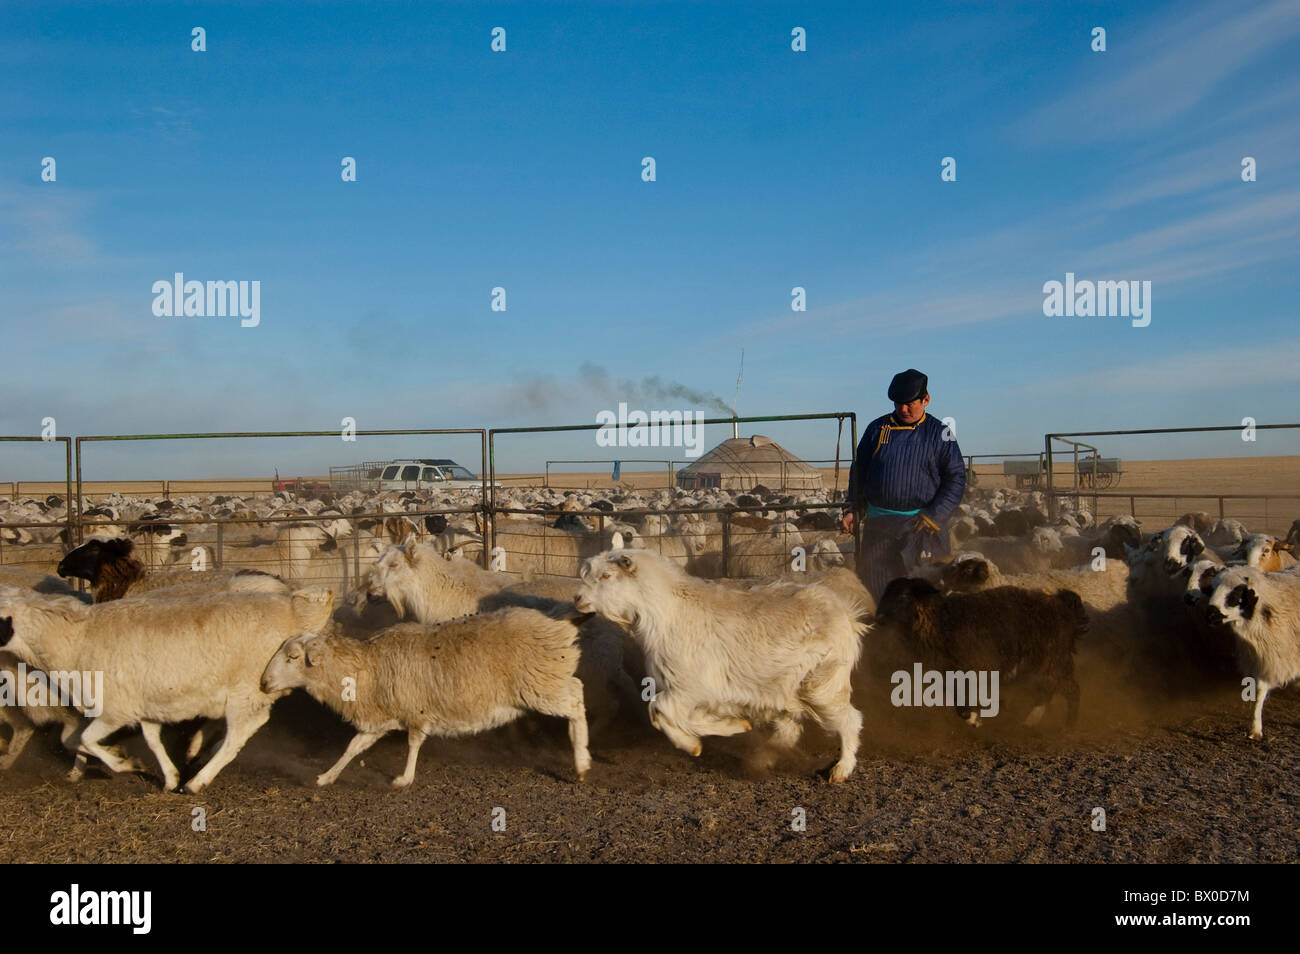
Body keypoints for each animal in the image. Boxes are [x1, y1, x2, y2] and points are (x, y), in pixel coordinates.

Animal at [0, 584, 335, 792]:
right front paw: (168, 776)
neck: (74, 640)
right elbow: (148, 740)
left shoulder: (114, 710)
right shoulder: (145, 705)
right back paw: (196, 754)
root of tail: (293, 611)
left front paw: (125, 762)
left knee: (240, 733)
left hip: (247, 691)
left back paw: (197, 780)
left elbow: (82, 739)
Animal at [261, 606, 592, 787]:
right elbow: (353, 747)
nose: (264, 683)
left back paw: (581, 759)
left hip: (540, 684)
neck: (368, 667)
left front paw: (403, 779)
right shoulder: (379, 718)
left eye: (292, 656)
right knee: (576, 690)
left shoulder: (416, 710)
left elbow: (413, 743)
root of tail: (559, 624)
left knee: (576, 699)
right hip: (545, 681)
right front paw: (326, 776)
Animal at [575, 548, 866, 783]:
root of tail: (847, 615)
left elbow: (659, 711)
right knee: (789, 727)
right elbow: (684, 717)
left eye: (607, 576)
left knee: (850, 720)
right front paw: (733, 726)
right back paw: (763, 758)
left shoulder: (690, 687)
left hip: (823, 684)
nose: (578, 599)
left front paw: (690, 743)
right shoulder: (702, 693)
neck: (669, 611)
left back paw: (841, 769)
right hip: (787, 687)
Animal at [874, 577, 1084, 728]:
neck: (941, 621)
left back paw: (1069, 727)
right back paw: (1030, 721)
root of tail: (1062, 606)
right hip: (1040, 664)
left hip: (1053, 659)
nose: (878, 618)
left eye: (903, 596)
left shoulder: (971, 668)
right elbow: (958, 700)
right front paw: (976, 715)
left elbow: (964, 701)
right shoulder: (949, 673)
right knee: (1047, 691)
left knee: (1071, 690)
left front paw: (975, 718)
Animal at [1205, 566, 1300, 740]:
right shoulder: (1263, 658)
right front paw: (1255, 729)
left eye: (1236, 593)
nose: (1209, 615)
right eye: (1212, 589)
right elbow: (1260, 691)